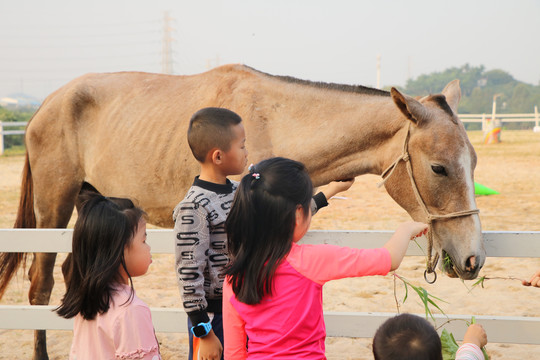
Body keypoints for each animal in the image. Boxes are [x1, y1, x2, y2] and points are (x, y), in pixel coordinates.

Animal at [0, 63, 484, 358]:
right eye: (439, 168)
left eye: (474, 162)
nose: (473, 259)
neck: (273, 119)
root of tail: (47, 102)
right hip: (53, 207)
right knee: (41, 286)